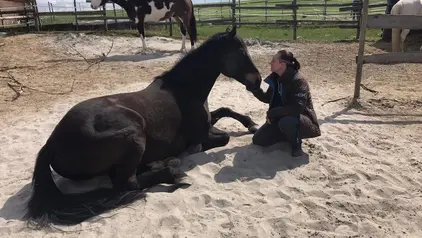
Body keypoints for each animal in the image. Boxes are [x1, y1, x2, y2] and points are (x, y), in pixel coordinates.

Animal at [23, 25, 260, 227]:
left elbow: (226, 110)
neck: (183, 90)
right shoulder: (202, 134)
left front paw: (252, 124)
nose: (257, 81)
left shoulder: (209, 120)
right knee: (128, 183)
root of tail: (51, 144)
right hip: (134, 135)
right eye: (240, 52)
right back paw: (171, 171)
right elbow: (222, 137)